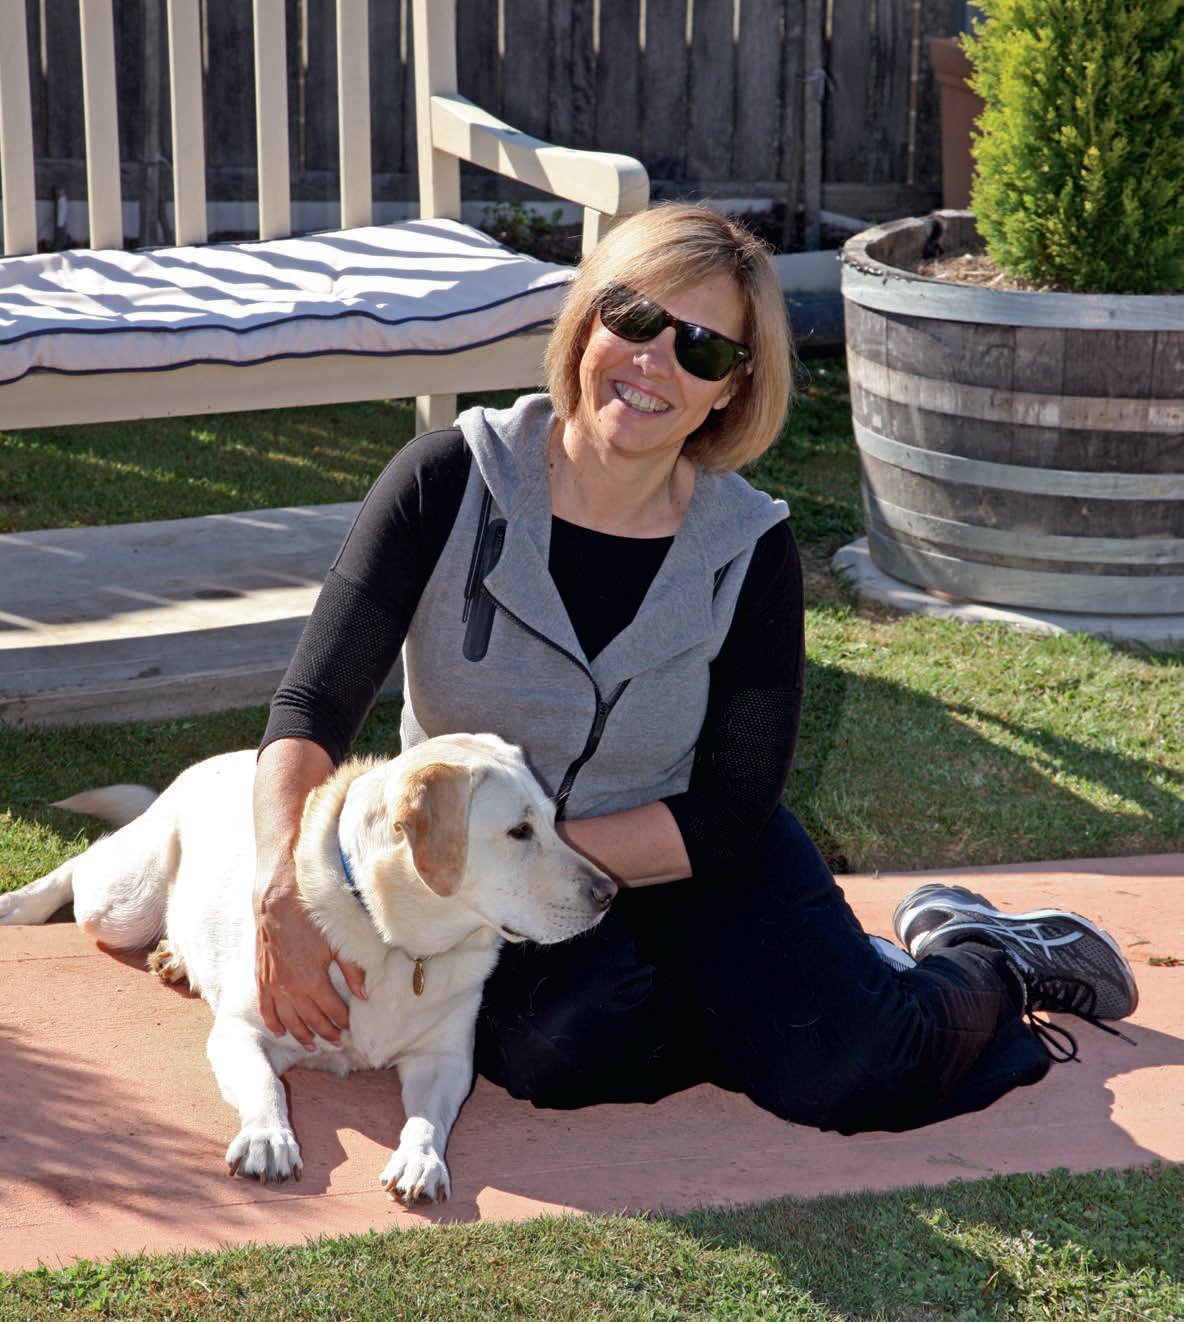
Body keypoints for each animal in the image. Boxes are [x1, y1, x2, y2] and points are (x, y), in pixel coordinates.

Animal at [0, 736, 611, 1202]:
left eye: (555, 821)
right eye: (519, 832)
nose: (609, 894)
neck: (394, 940)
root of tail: (211, 761)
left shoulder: (446, 1060)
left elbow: (429, 1120)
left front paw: (420, 1160)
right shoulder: (243, 1030)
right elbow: (266, 1083)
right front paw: (268, 1138)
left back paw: (176, 956)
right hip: (121, 903)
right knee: (84, 863)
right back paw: (21, 905)